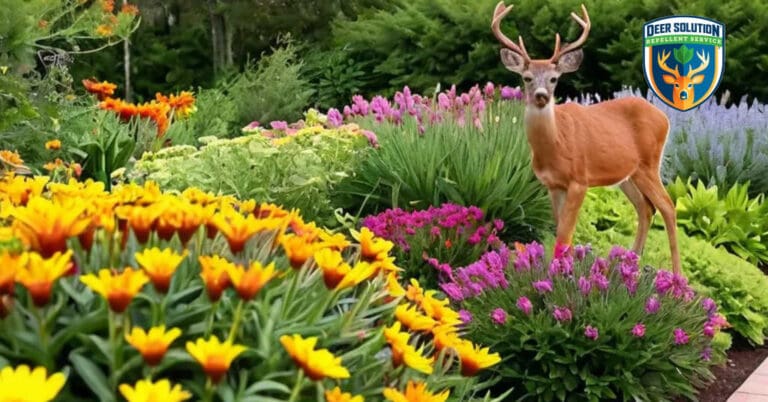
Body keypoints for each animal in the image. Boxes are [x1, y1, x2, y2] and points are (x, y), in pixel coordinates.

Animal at [491, 2, 682, 274]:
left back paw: (677, 276)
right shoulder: (553, 185)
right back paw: (629, 262)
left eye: (554, 78)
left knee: (668, 206)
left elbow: (564, 235)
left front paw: (561, 273)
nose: (541, 95)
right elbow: (561, 231)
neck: (555, 145)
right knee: (646, 208)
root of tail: (665, 118)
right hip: (628, 174)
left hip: (649, 164)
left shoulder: (579, 180)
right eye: (527, 78)